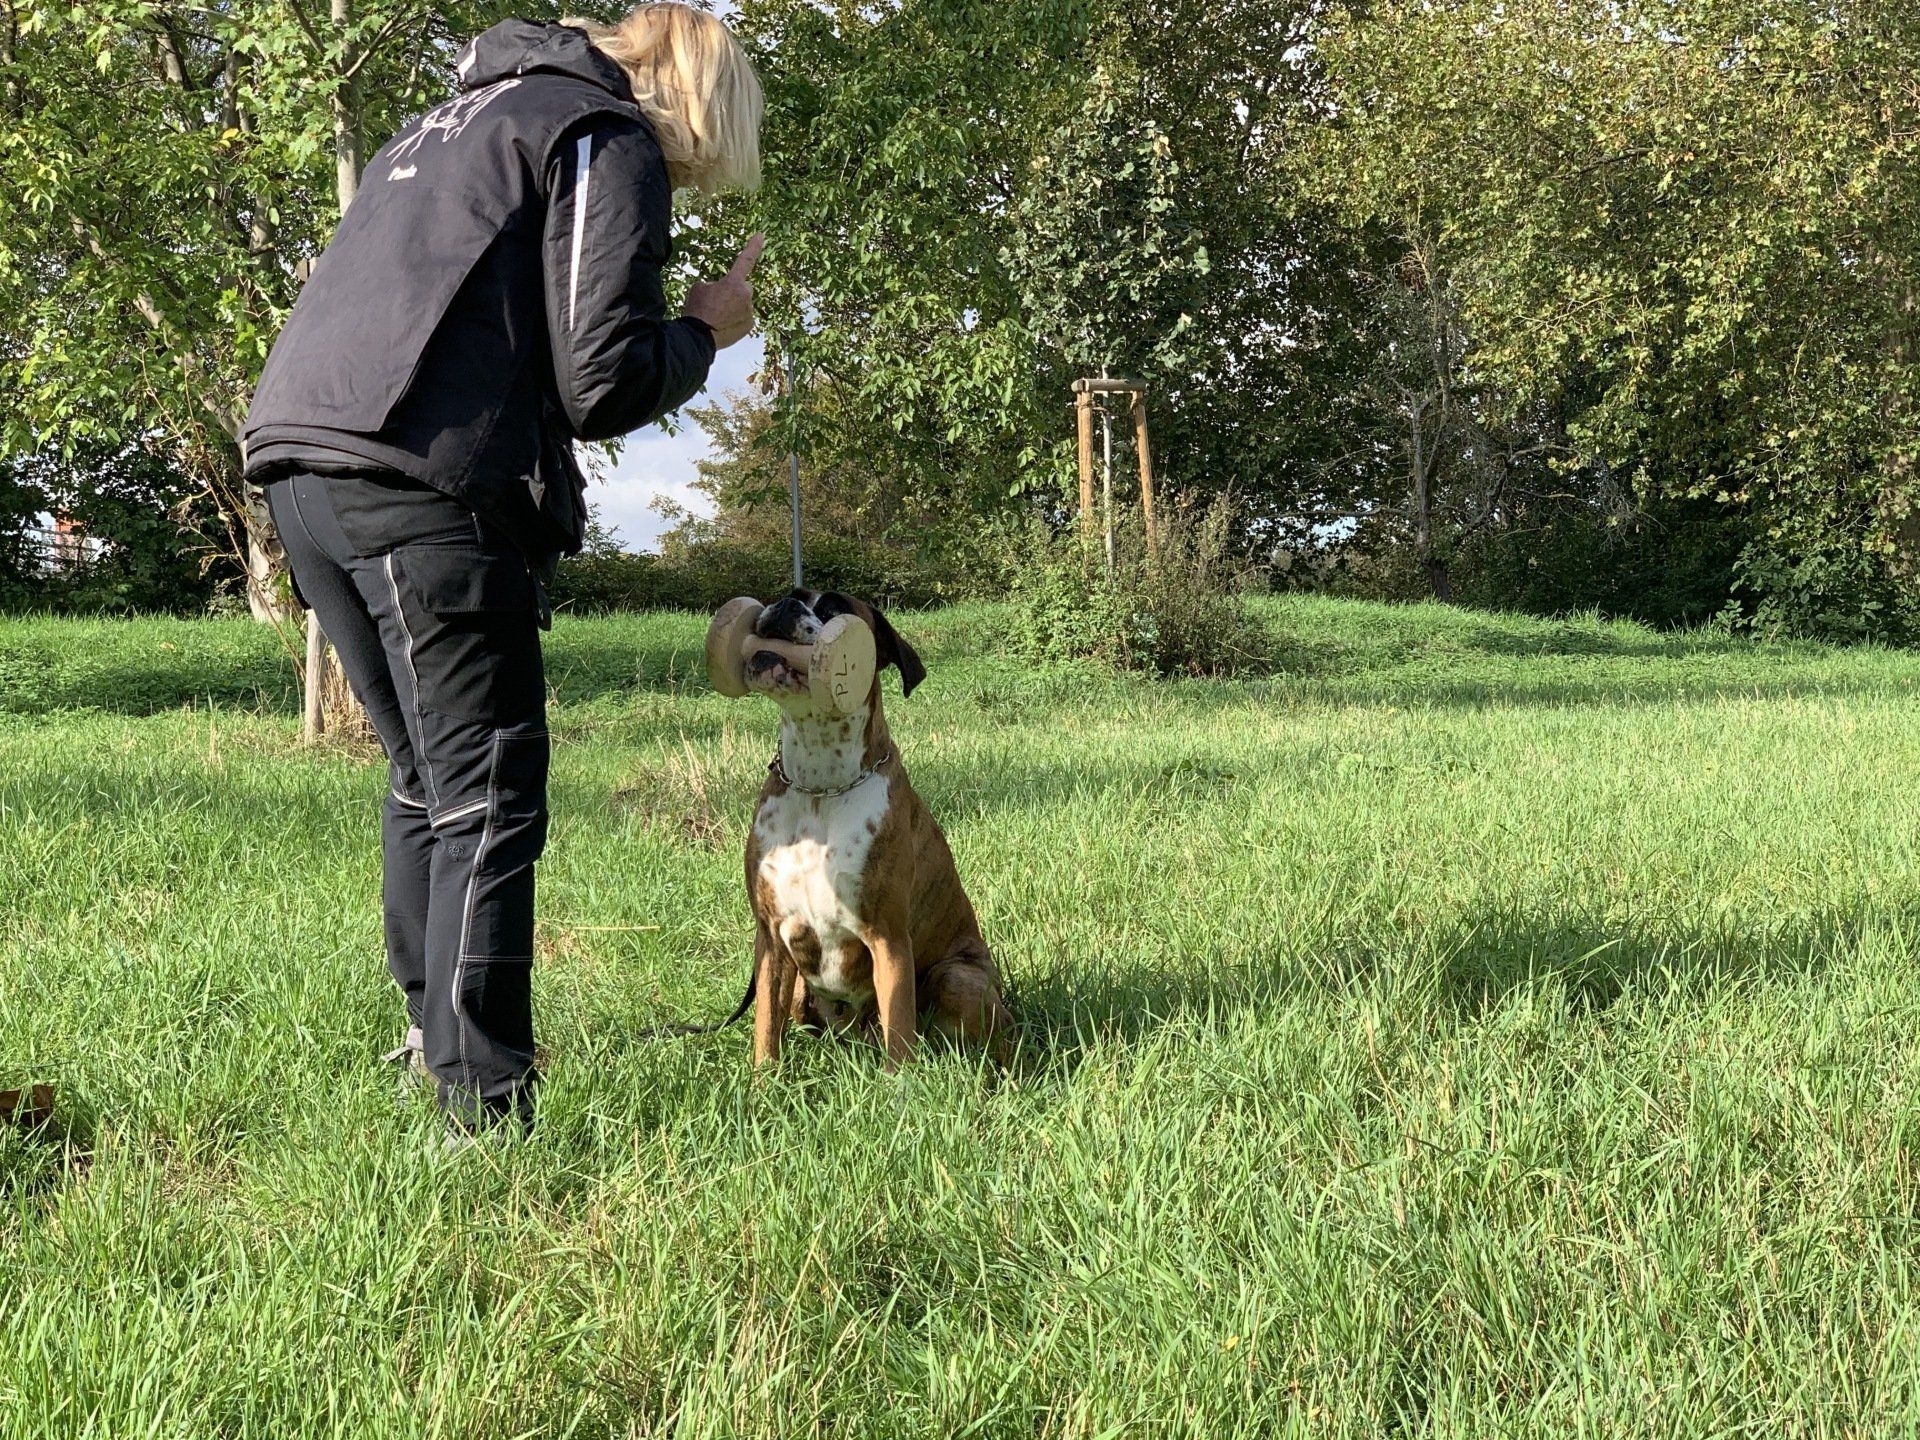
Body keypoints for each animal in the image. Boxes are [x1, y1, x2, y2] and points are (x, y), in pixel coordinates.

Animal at [741, 589, 1013, 1068]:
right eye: (792, 594)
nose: (787, 604)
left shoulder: (888, 939)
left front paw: (900, 1087)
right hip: (801, 987)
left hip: (958, 977)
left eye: (834, 609)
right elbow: (765, 1032)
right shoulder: (771, 940)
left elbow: (899, 1037)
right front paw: (762, 1083)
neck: (820, 787)